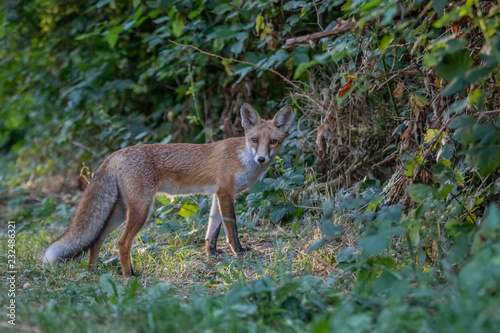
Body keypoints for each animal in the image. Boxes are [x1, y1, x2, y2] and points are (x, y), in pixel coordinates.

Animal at [43, 103, 294, 274]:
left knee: (96, 240)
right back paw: (129, 276)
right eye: (254, 140)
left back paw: (94, 271)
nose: (261, 159)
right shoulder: (225, 193)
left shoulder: (217, 194)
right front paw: (238, 252)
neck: (243, 157)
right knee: (122, 242)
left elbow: (212, 230)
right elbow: (231, 229)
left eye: (273, 142)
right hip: (141, 210)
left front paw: (212, 253)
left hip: (120, 211)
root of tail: (116, 154)